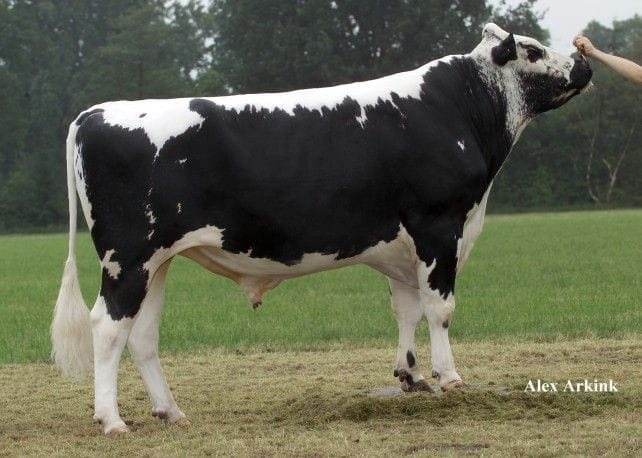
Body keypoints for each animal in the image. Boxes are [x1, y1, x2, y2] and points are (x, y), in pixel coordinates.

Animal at [51, 23, 592, 435]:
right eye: (533, 50)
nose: (584, 63)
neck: (457, 108)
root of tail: (95, 112)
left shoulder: (402, 245)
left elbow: (407, 309)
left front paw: (410, 377)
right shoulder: (439, 228)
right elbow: (440, 309)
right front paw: (450, 378)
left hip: (157, 261)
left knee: (141, 334)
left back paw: (171, 411)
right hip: (127, 258)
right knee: (107, 327)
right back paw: (111, 420)